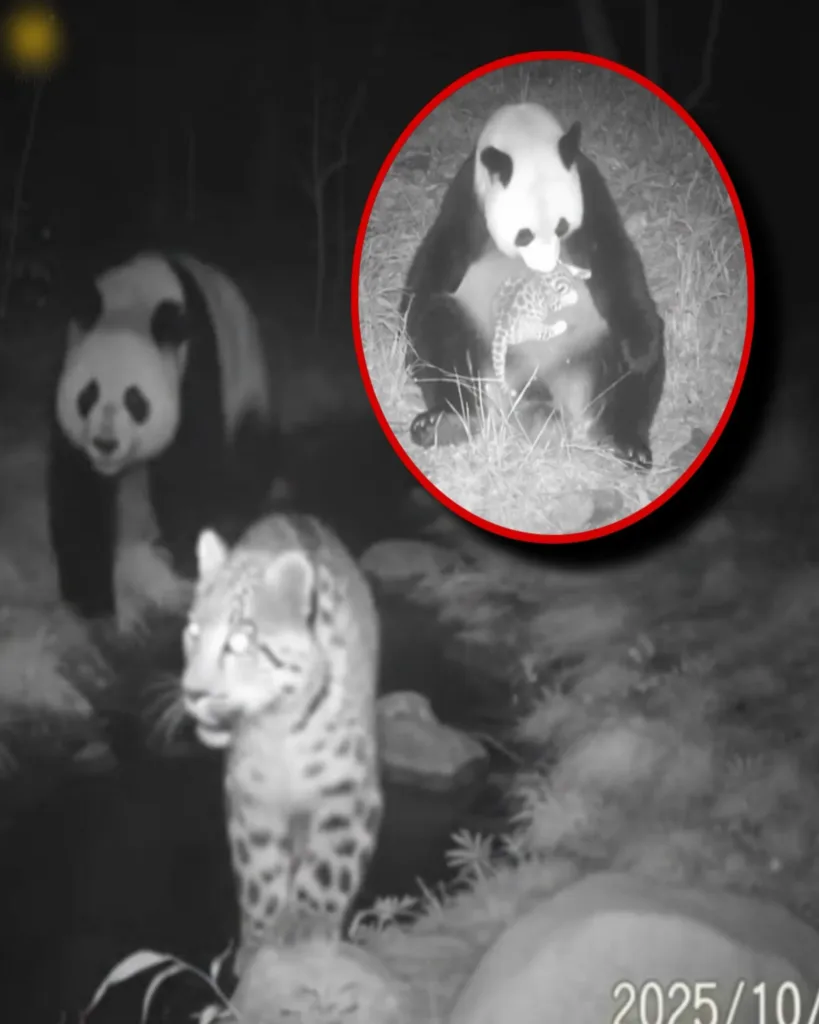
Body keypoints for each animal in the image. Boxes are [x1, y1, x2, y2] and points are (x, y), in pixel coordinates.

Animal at [48, 251, 278, 620]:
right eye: (88, 394)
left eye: (135, 400)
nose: (105, 444)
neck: (135, 301)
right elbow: (77, 488)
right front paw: (90, 597)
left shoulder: (196, 370)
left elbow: (188, 470)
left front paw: (187, 558)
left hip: (248, 385)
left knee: (249, 456)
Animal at [180, 512, 383, 978]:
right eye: (193, 630)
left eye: (240, 640)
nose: (193, 693)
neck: (279, 733)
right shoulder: (252, 798)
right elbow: (258, 870)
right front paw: (259, 939)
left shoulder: (348, 785)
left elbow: (332, 857)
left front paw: (304, 923)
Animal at [491, 262, 592, 397]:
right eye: (569, 288)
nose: (574, 287)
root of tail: (501, 325)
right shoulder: (553, 303)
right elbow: (562, 301)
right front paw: (573, 296)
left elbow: (571, 267)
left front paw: (584, 272)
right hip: (534, 328)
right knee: (546, 333)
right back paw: (561, 325)